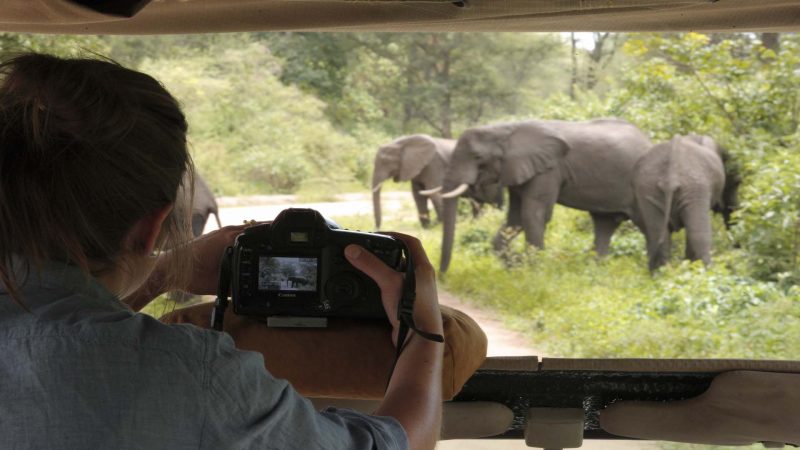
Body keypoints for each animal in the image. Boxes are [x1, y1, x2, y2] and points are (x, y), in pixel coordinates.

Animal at [372, 134, 504, 229]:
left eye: (385, 162)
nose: (378, 228)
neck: (402, 141)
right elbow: (418, 196)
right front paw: (427, 227)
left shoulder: (434, 164)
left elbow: (433, 192)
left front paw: (439, 226)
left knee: (491, 200)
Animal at [434, 118, 652, 274]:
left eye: (477, 157)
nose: (442, 274)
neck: (506, 129)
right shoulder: (519, 170)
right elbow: (515, 219)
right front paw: (515, 266)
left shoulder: (549, 170)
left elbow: (533, 214)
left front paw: (532, 272)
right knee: (604, 224)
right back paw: (594, 271)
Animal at [632, 134, 744, 270]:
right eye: (737, 183)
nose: (738, 249)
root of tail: (670, 175)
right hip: (694, 187)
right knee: (699, 237)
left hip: (648, 188)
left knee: (657, 237)